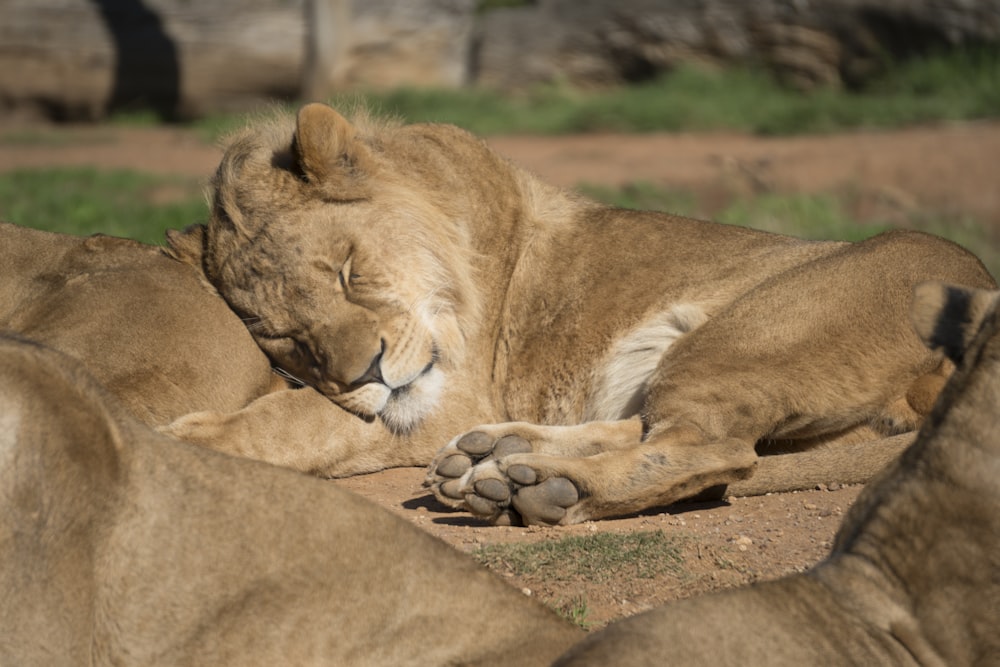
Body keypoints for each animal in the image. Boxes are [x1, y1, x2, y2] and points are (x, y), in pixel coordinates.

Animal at [158, 102, 992, 528]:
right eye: (289, 342)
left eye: (348, 269)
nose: (366, 370)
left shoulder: (453, 386)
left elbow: (302, 420)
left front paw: (193, 439)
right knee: (658, 430)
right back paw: (495, 459)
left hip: (743, 334)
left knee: (713, 450)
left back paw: (538, 487)